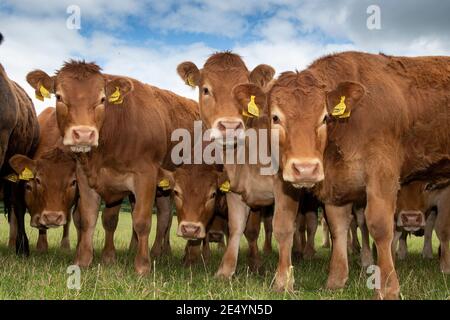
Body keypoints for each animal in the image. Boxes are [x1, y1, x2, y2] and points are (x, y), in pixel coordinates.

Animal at [25, 60, 199, 276]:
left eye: (102, 99)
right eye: (59, 96)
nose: (84, 134)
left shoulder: (146, 176)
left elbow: (141, 221)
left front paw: (142, 266)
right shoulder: (86, 178)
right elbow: (90, 219)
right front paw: (84, 261)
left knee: (164, 218)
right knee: (166, 214)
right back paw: (159, 252)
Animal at [178, 52, 300, 290]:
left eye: (246, 92)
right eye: (205, 89)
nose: (230, 126)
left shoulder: (285, 188)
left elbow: (281, 228)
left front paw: (282, 280)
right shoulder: (236, 191)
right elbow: (236, 228)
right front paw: (225, 271)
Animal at [248, 51, 450, 298]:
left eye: (325, 117)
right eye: (275, 118)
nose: (306, 168)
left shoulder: (382, 172)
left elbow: (380, 227)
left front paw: (388, 288)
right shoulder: (330, 184)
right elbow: (330, 228)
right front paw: (327, 280)